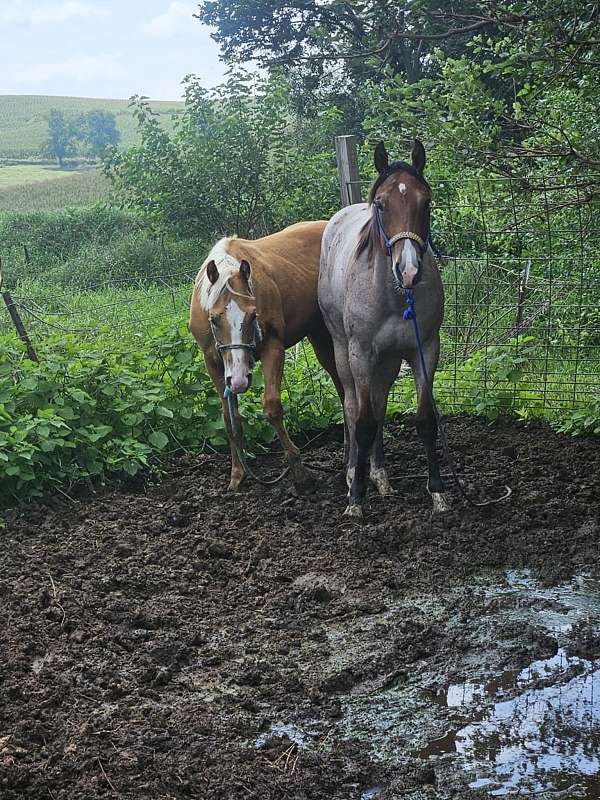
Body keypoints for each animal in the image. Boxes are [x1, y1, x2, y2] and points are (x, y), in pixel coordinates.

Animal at [190, 222, 344, 490]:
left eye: (253, 315)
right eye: (214, 319)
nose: (239, 380)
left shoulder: (273, 348)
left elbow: (272, 407)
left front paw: (300, 471)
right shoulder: (214, 365)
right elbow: (230, 419)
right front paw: (237, 474)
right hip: (318, 335)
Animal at [318, 141, 446, 520]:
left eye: (426, 201)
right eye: (381, 204)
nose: (409, 270)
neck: (393, 295)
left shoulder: (425, 349)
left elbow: (424, 421)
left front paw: (437, 493)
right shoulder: (361, 354)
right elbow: (361, 423)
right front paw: (356, 499)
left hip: (387, 362)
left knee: (377, 403)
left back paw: (380, 476)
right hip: (343, 353)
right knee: (352, 406)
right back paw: (352, 474)